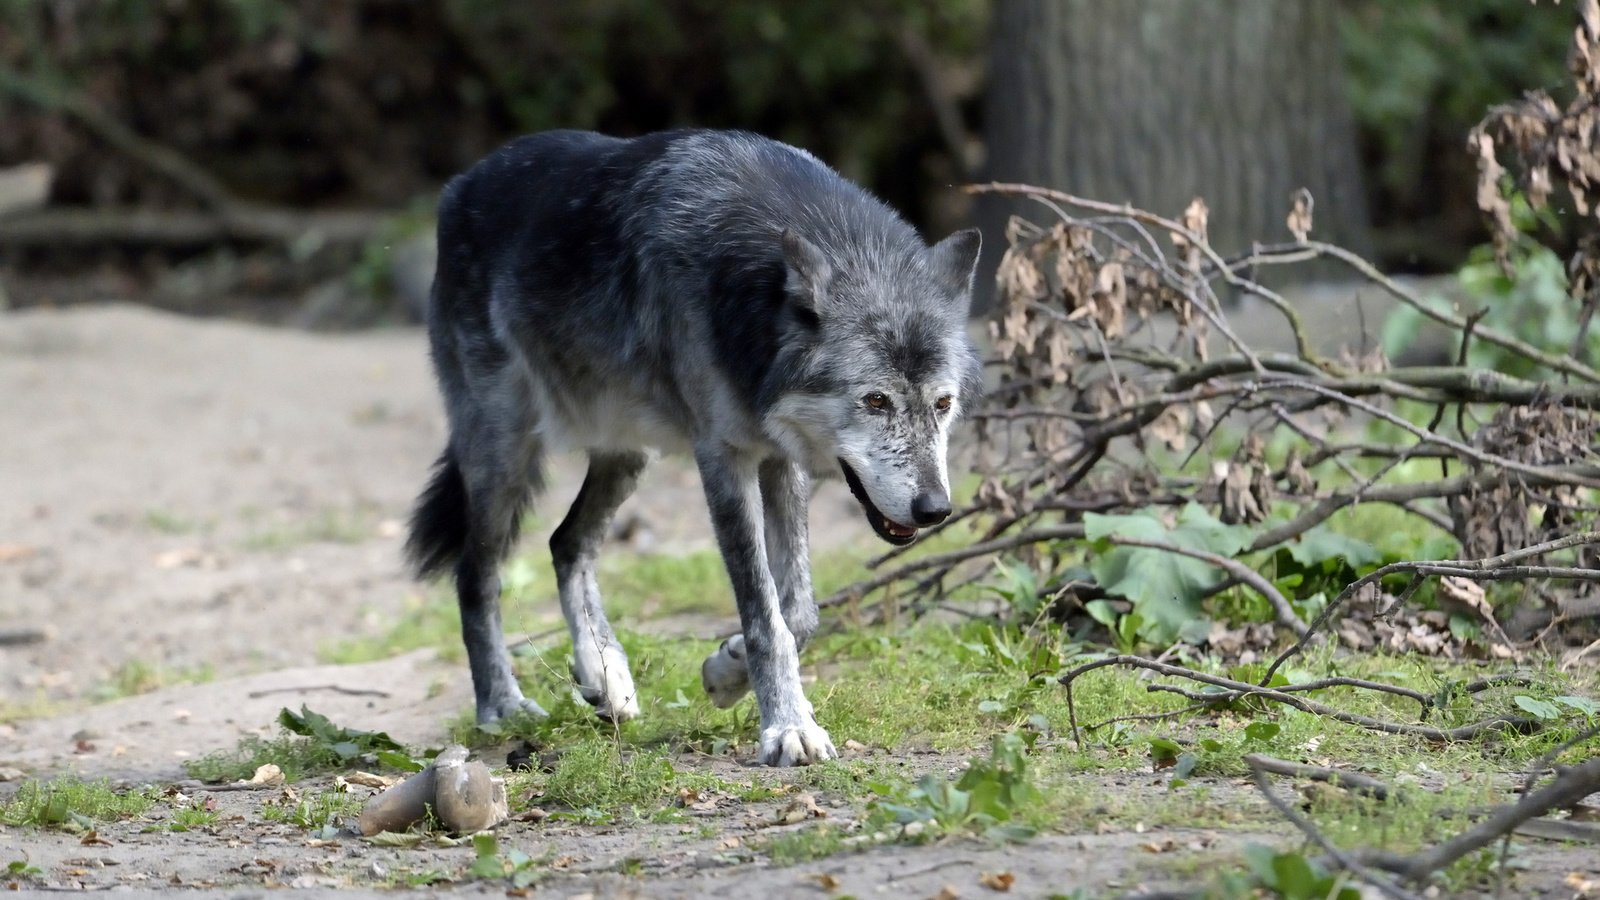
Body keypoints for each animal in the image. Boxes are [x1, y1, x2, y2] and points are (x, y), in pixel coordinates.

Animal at [406, 128, 979, 762]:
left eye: (943, 404)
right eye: (876, 401)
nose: (935, 510)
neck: (749, 293)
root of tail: (461, 184)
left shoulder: (779, 457)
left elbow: (798, 613)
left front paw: (726, 669)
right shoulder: (723, 459)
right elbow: (765, 616)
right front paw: (788, 728)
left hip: (627, 455)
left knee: (565, 543)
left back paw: (605, 675)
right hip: (502, 454)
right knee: (475, 573)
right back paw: (502, 705)